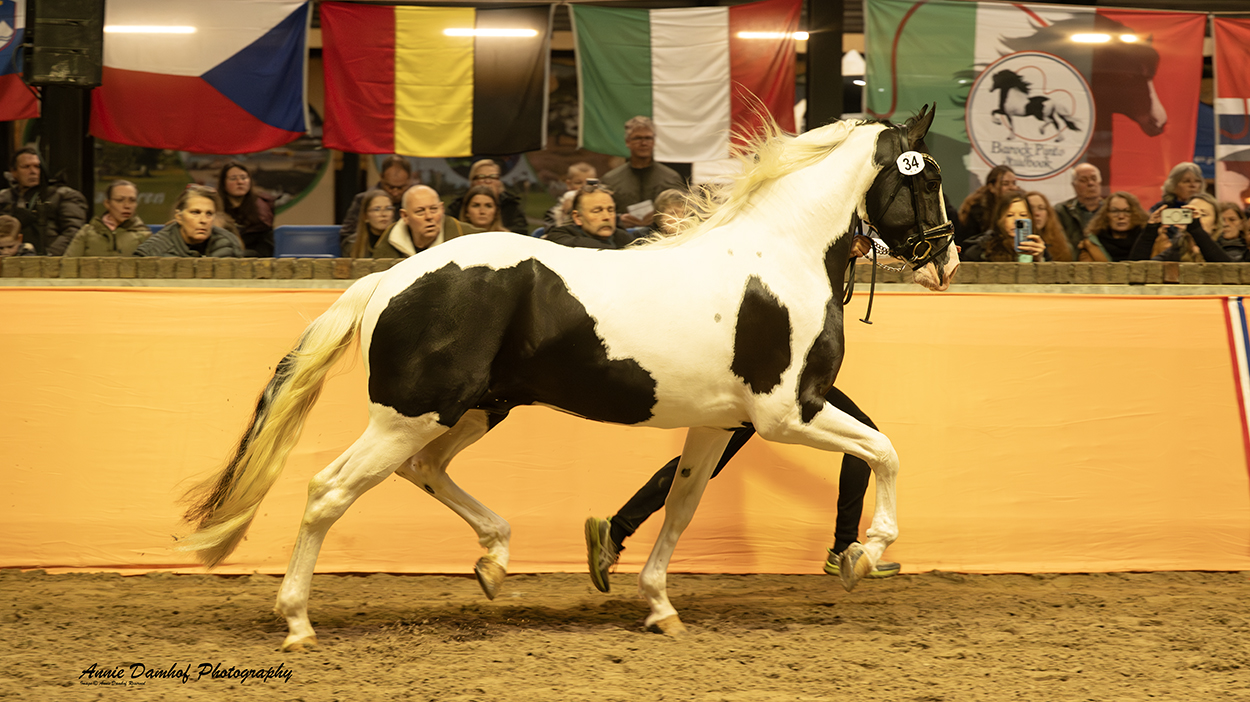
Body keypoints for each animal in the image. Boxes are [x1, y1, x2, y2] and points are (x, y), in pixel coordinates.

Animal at [178, 105, 960, 651]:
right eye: (929, 177)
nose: (946, 262)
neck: (781, 258)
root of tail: (388, 279)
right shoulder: (788, 413)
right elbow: (886, 451)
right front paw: (864, 555)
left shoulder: (719, 423)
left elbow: (681, 506)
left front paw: (659, 607)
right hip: (412, 414)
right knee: (327, 491)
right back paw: (298, 623)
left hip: (471, 411)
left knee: (425, 471)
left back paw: (494, 563)